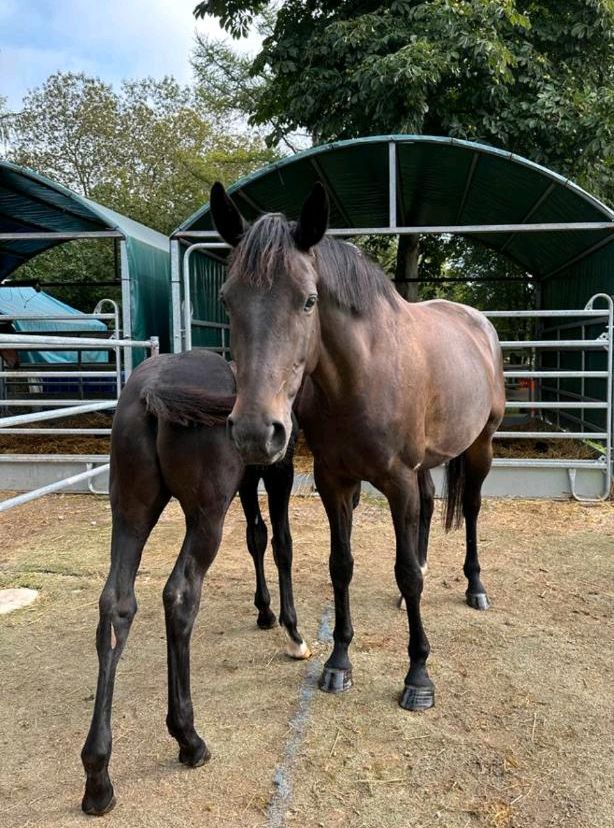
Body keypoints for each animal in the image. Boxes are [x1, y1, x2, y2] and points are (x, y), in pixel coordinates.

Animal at [80, 350, 312, 816]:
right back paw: (188, 738)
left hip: (131, 512)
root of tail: (152, 389)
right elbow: (281, 543)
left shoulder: (249, 479)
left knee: (117, 606)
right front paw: (292, 631)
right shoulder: (278, 472)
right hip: (205, 516)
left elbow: (256, 536)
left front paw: (264, 611)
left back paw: (97, 777)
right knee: (180, 595)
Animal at [211, 184, 506, 716]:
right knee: (431, 505)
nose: (254, 432)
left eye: (309, 301)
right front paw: (338, 662)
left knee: (470, 508)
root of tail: (479, 325)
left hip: (481, 446)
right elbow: (341, 566)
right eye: (228, 300)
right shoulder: (335, 481)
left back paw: (476, 587)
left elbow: (405, 571)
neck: (362, 377)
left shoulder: (396, 482)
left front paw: (418, 676)